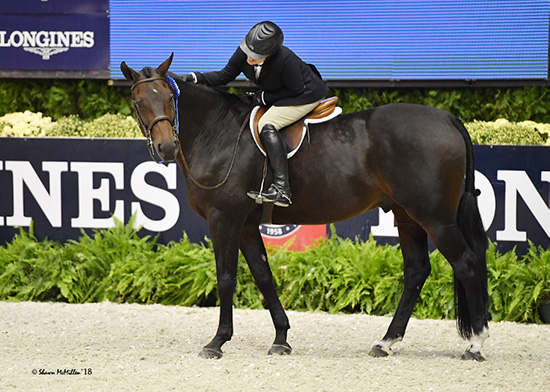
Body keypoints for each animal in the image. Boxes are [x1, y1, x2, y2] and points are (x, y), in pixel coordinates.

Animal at [121, 54, 492, 362]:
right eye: (139, 102)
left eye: (169, 99)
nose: (167, 148)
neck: (218, 133)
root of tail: (447, 118)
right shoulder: (245, 225)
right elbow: (264, 276)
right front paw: (281, 339)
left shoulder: (224, 220)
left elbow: (226, 278)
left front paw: (217, 342)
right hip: (407, 216)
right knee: (416, 271)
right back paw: (386, 342)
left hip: (435, 219)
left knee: (466, 263)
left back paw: (475, 344)